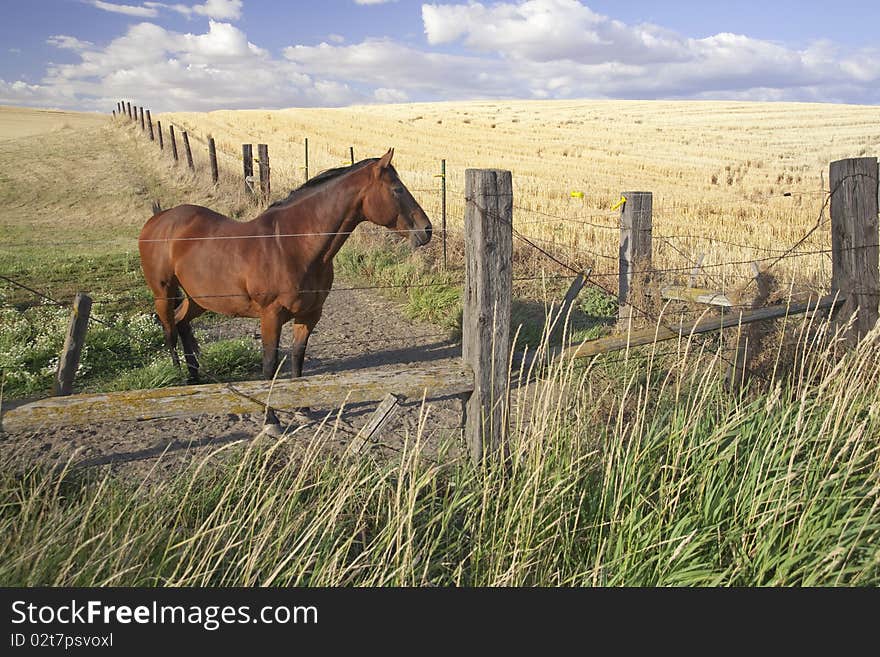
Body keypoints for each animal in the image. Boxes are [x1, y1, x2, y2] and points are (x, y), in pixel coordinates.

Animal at [138, 147, 434, 426]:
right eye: (397, 189)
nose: (427, 230)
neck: (293, 244)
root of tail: (159, 219)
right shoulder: (271, 315)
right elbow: (270, 366)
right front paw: (271, 419)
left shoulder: (309, 315)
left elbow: (297, 360)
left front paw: (302, 409)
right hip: (163, 293)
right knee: (169, 330)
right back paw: (178, 379)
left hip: (199, 299)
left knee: (182, 324)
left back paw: (195, 378)